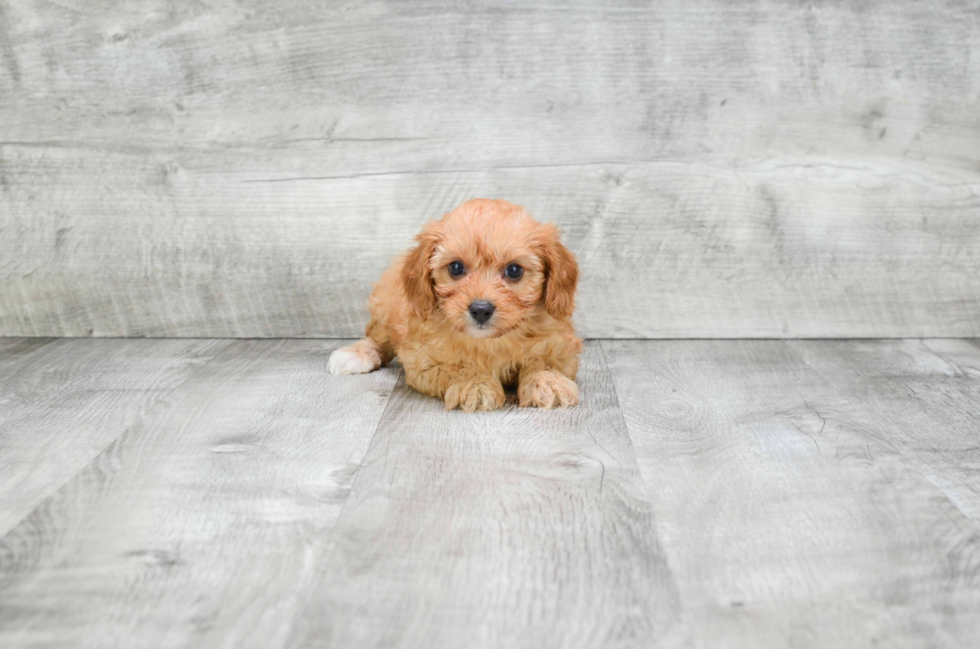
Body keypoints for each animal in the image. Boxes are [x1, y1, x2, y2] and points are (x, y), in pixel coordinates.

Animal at [328, 196, 580, 410]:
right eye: (456, 267)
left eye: (514, 270)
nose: (480, 310)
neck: (490, 342)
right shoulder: (423, 360)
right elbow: (458, 367)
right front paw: (475, 384)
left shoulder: (561, 349)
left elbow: (543, 361)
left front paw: (548, 382)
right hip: (384, 303)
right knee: (379, 339)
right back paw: (356, 354)